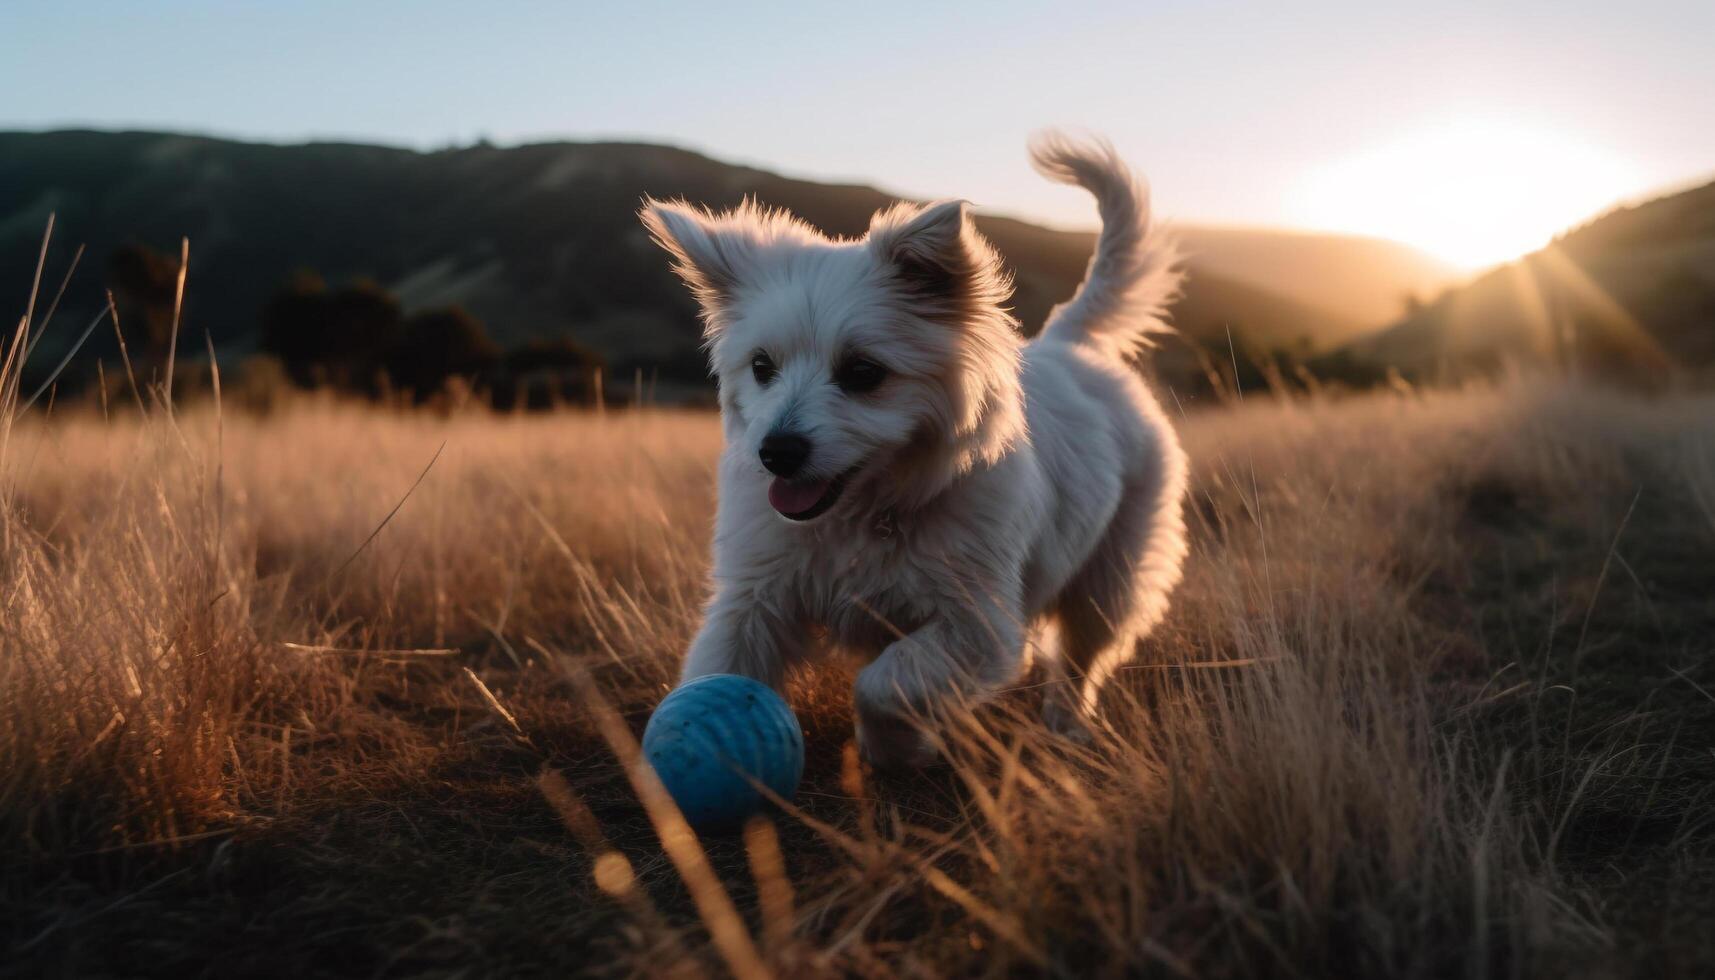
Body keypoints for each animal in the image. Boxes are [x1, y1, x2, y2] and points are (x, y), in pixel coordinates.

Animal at [637, 133, 1186, 772]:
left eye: (863, 373)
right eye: (761, 366)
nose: (776, 452)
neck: (860, 516)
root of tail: (1068, 341)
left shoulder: (977, 627)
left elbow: (884, 682)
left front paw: (897, 749)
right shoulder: (752, 600)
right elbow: (715, 668)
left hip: (1111, 580)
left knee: (1080, 661)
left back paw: (1068, 726)